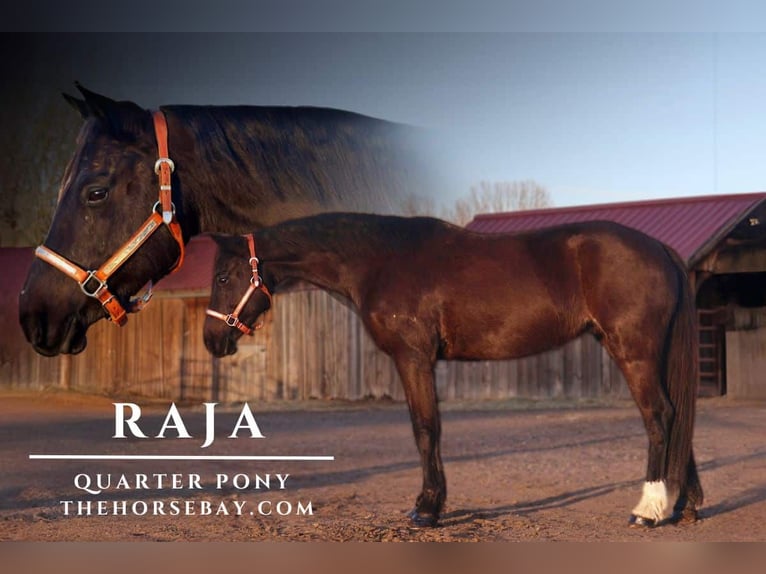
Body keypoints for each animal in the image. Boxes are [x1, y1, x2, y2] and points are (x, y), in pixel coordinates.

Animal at [203, 212, 703, 528]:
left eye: (224, 277)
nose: (212, 341)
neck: (379, 261)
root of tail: (658, 248)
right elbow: (429, 428)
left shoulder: (413, 358)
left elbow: (426, 429)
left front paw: (427, 509)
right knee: (678, 416)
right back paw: (684, 505)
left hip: (633, 351)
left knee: (659, 416)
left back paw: (648, 509)